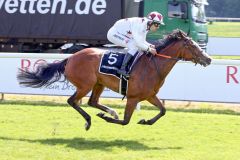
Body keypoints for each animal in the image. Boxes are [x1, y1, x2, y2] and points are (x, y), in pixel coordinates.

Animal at [17, 29, 211, 130]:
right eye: (192, 45)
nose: (208, 58)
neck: (153, 65)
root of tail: (70, 58)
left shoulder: (149, 95)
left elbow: (163, 110)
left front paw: (145, 121)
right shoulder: (133, 97)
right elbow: (126, 121)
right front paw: (108, 119)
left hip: (98, 84)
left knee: (92, 101)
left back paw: (109, 112)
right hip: (85, 84)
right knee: (73, 101)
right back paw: (90, 120)